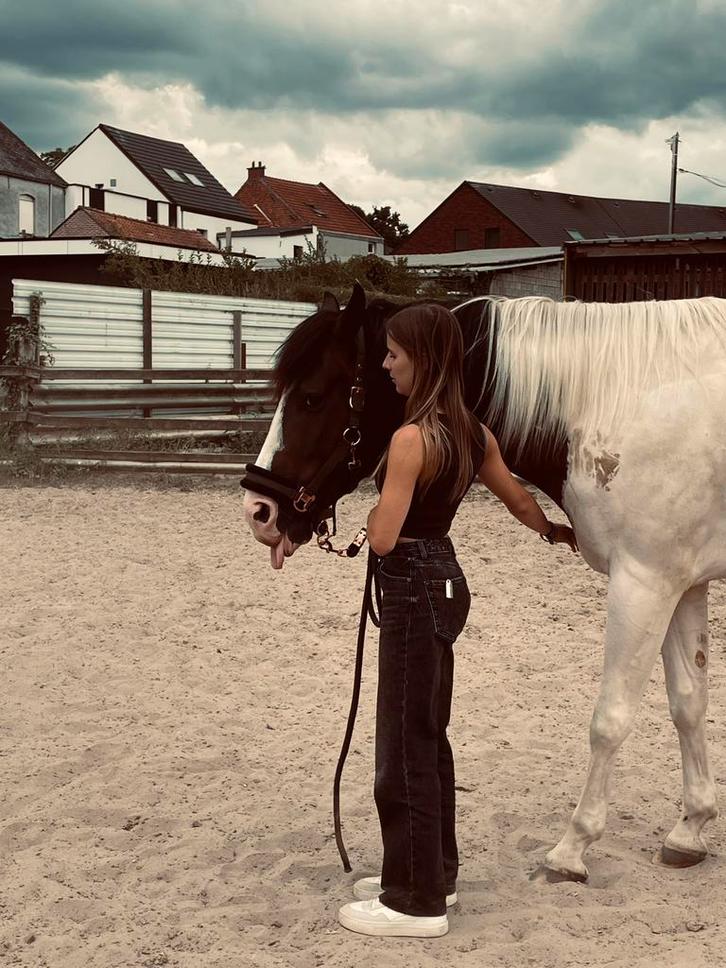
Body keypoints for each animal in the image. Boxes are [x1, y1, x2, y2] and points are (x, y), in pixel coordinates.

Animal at [242, 282, 726, 882]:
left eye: (311, 398)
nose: (259, 511)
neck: (616, 399)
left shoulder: (644, 581)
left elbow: (610, 718)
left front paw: (572, 848)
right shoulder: (681, 581)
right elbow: (689, 702)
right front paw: (690, 829)